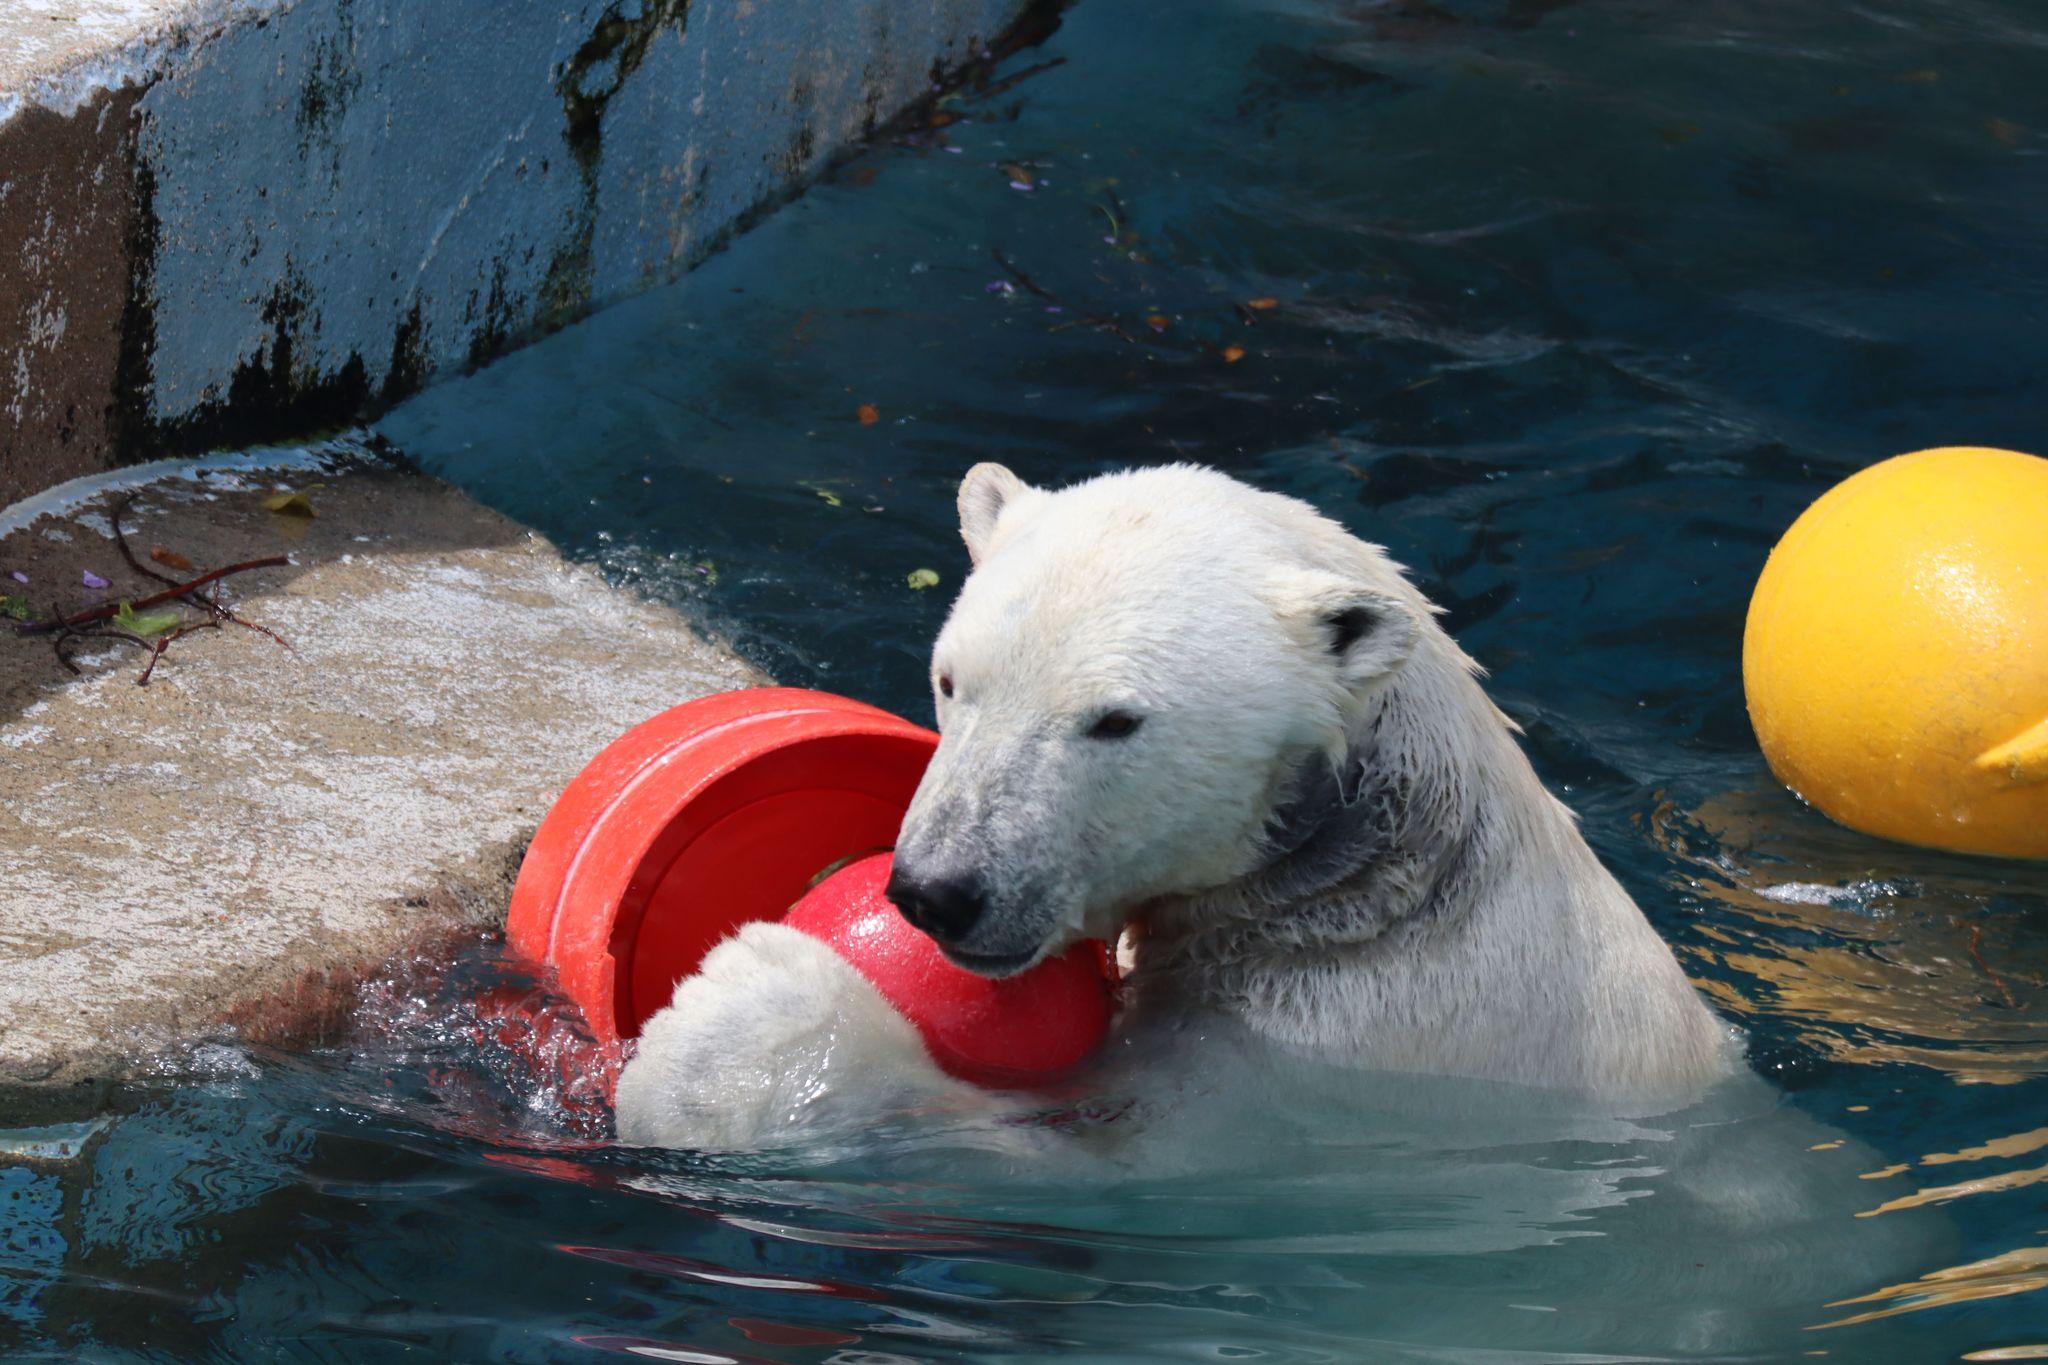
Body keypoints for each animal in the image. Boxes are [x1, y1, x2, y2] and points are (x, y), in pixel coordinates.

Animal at [614, 464, 1736, 1146]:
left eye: (1113, 721)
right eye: (951, 680)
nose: (940, 889)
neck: (1367, 892)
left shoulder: (1326, 1060)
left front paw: (731, 1030)